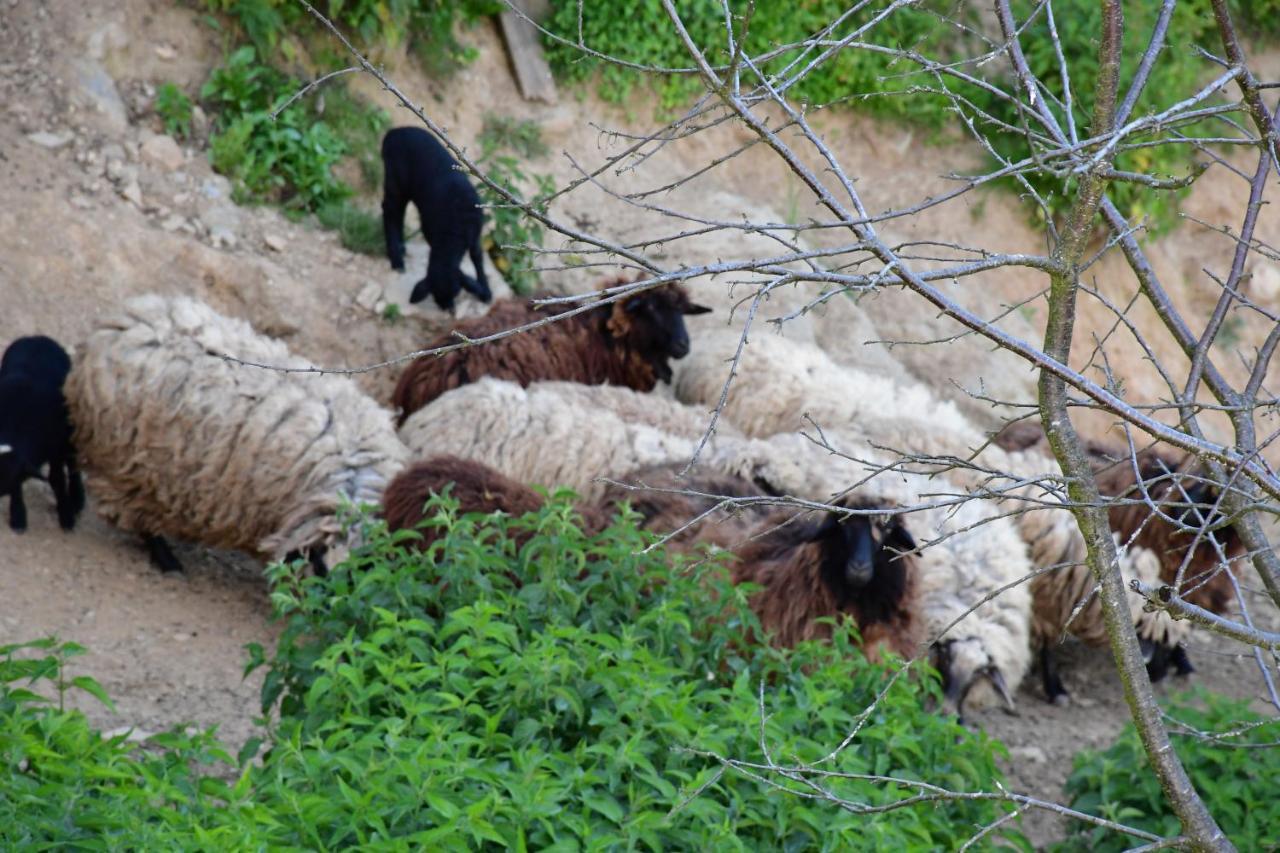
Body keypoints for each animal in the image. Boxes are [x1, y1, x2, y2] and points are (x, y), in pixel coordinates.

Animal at [0, 333, 85, 527]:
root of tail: (36, 337)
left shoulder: (56, 448)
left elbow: (57, 479)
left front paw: (66, 515)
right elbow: (18, 482)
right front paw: (18, 516)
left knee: (73, 463)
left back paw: (77, 498)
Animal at [376, 124, 491, 311]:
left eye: (456, 294)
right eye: (436, 299)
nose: (449, 309)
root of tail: (393, 132)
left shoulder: (475, 235)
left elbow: (477, 257)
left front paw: (486, 292)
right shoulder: (430, 230)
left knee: (397, 211)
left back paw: (401, 249)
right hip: (395, 178)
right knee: (391, 210)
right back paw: (397, 259)